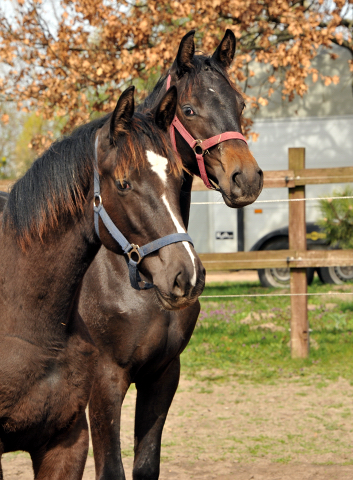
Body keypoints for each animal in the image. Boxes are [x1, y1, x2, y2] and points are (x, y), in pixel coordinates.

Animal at [78, 29, 262, 480]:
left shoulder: (163, 375)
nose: (247, 178)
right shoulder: (103, 383)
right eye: (190, 109)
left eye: (241, 104)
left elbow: (146, 466)